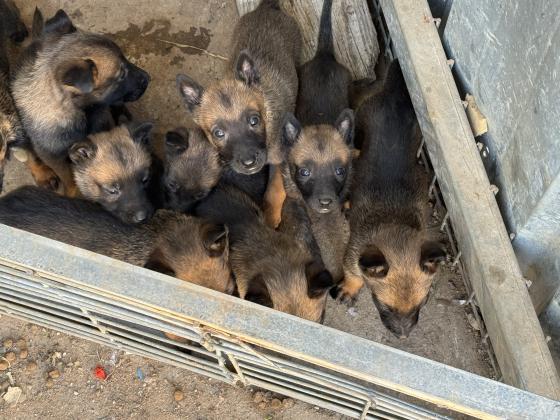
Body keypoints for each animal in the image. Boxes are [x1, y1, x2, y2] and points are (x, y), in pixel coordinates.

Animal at [332, 60, 446, 338]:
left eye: (423, 303)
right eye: (383, 305)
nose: (403, 336)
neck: (394, 225)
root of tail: (395, 95)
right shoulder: (353, 255)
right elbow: (353, 274)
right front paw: (349, 288)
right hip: (362, 110)